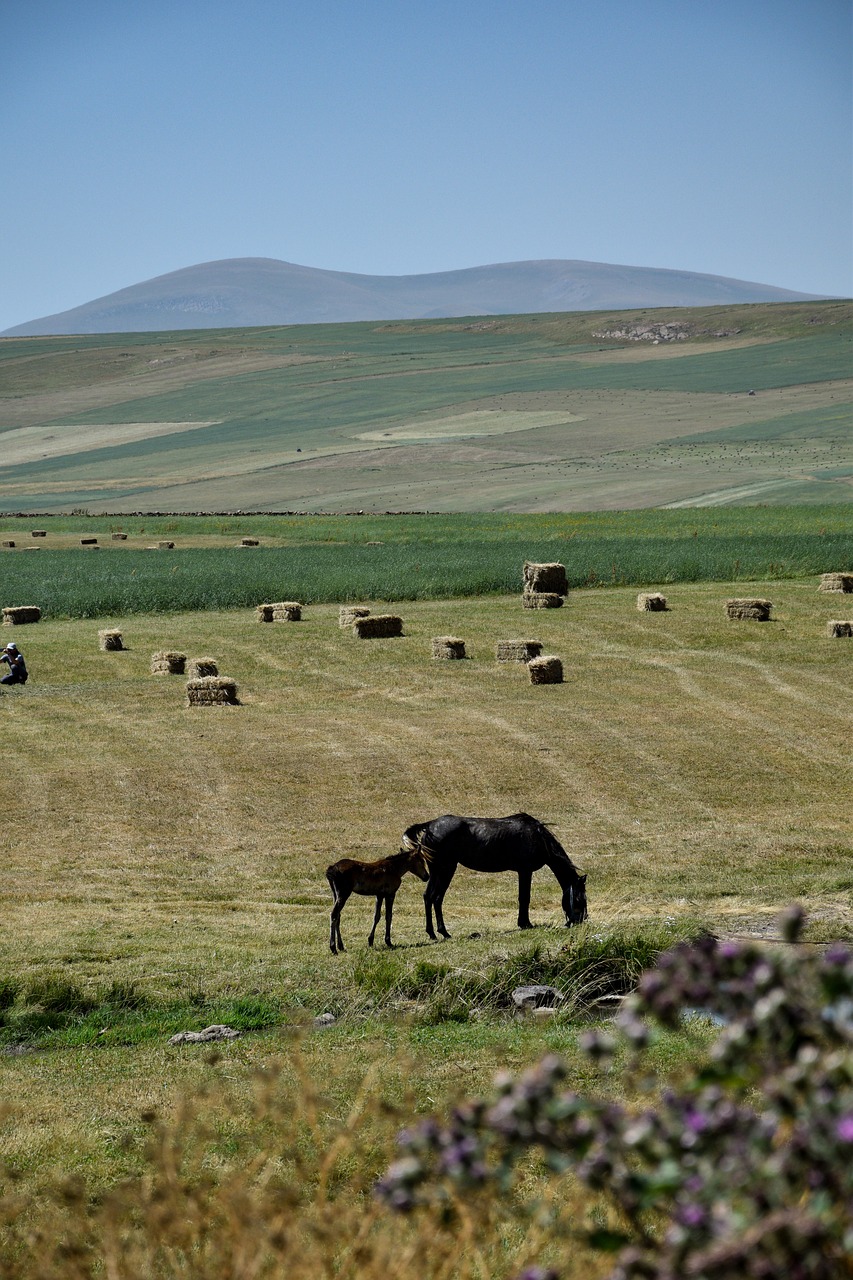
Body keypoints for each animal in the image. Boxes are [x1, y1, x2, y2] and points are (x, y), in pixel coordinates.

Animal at [399, 808, 584, 942]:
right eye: (578, 899)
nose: (579, 921)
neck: (538, 837)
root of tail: (430, 825)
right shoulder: (525, 871)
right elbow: (524, 897)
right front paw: (526, 924)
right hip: (446, 869)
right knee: (437, 898)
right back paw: (444, 932)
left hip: (436, 871)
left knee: (429, 897)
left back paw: (433, 933)